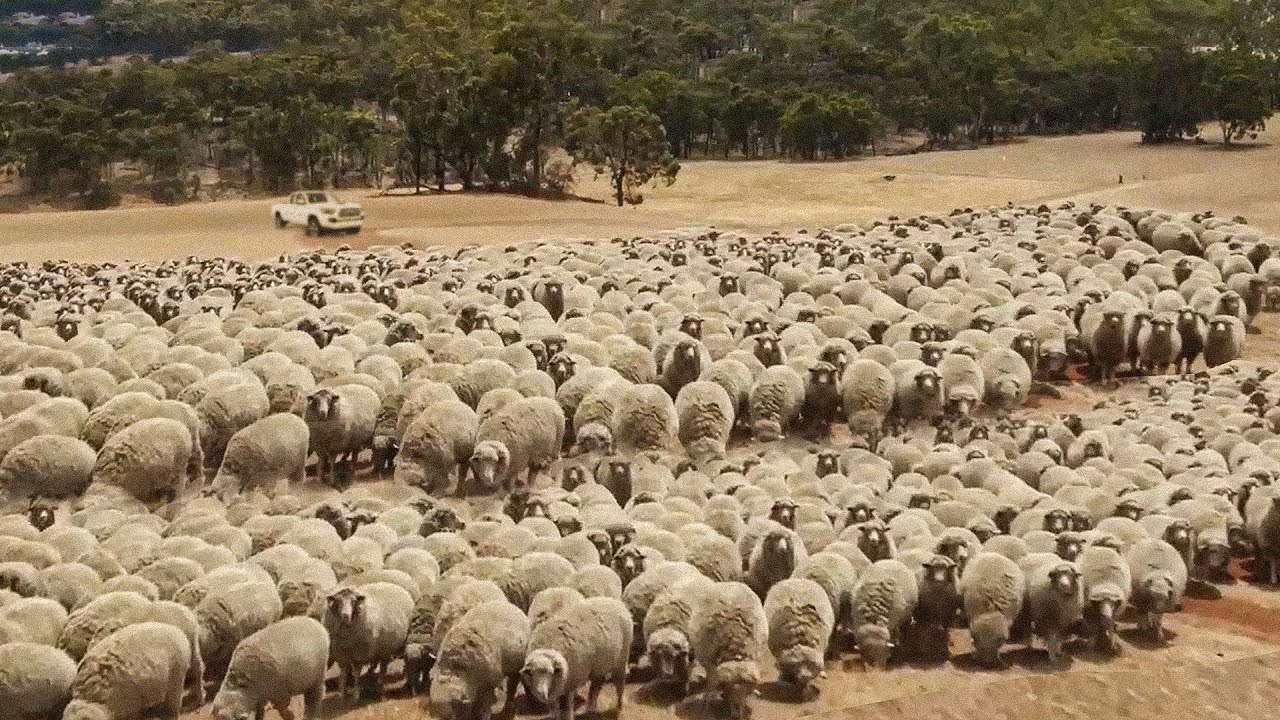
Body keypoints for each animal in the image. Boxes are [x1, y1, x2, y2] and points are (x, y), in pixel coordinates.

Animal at [688, 581, 768, 720]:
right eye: (730, 690)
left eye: (746, 692)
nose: (737, 716)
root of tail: (730, 582)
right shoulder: (711, 664)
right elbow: (711, 686)